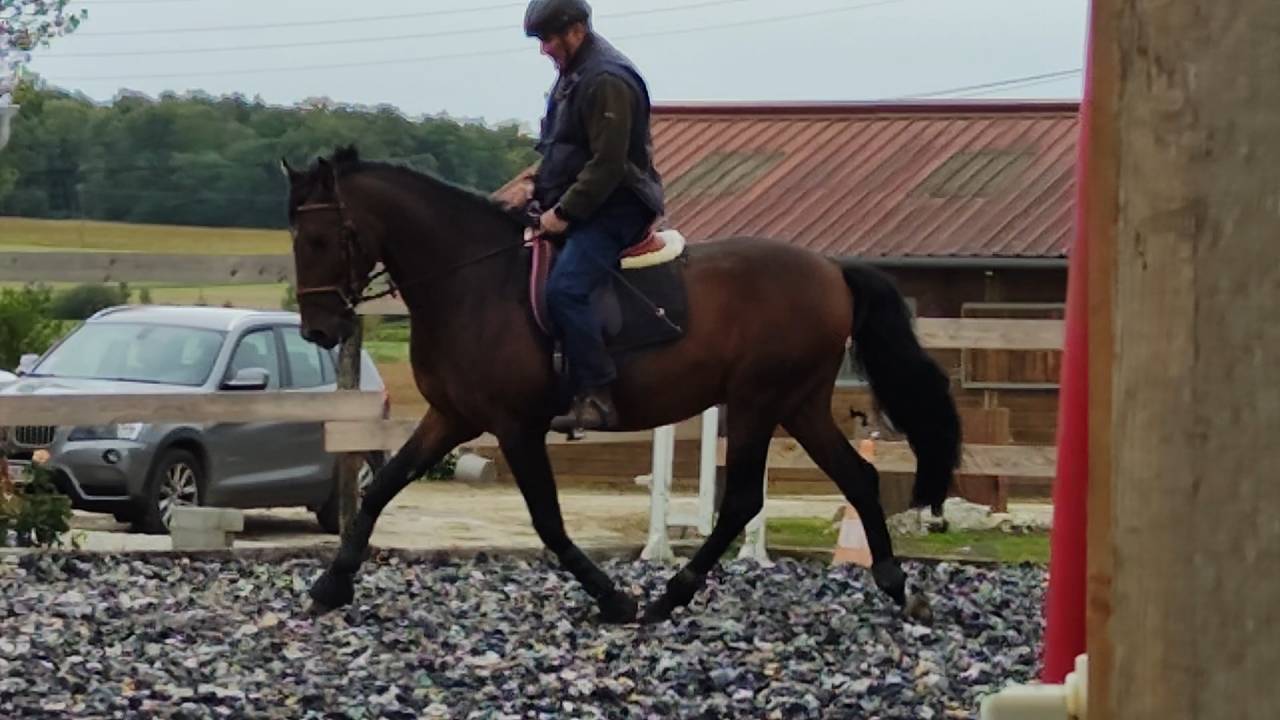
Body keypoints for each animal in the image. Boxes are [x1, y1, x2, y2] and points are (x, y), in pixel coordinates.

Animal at [281, 145, 960, 625]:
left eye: (319, 238)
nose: (318, 329)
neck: (474, 282)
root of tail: (831, 270)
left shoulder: (514, 426)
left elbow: (548, 520)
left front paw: (612, 599)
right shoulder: (452, 417)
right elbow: (380, 490)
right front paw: (331, 586)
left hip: (757, 400)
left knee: (744, 500)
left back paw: (667, 598)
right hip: (800, 403)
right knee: (857, 478)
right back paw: (898, 588)